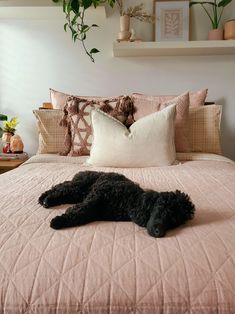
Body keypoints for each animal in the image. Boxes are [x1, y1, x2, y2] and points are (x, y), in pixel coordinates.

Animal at [38, 170, 196, 237]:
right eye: (163, 210)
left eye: (174, 221)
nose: (160, 233)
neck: (131, 202)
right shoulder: (96, 197)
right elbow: (80, 211)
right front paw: (58, 221)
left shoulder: (97, 209)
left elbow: (82, 214)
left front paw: (61, 219)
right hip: (79, 186)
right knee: (60, 188)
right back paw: (45, 199)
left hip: (78, 192)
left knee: (61, 190)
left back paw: (45, 200)